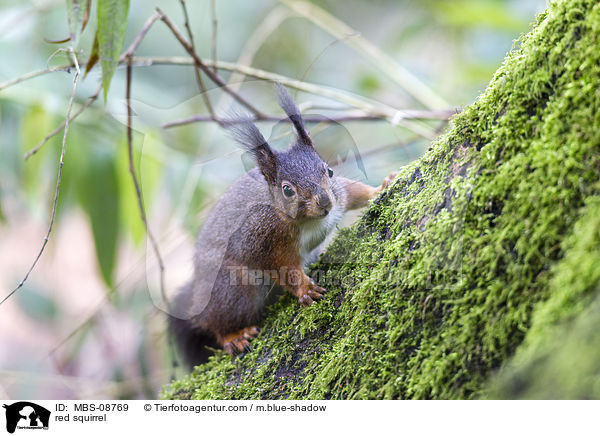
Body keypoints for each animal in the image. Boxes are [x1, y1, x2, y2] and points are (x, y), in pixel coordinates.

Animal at [169, 83, 396, 366]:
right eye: (287, 190)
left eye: (329, 171)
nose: (325, 202)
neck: (309, 220)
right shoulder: (263, 237)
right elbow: (281, 267)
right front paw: (305, 289)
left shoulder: (339, 196)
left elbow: (354, 192)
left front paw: (381, 187)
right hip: (232, 288)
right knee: (216, 322)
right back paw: (233, 336)